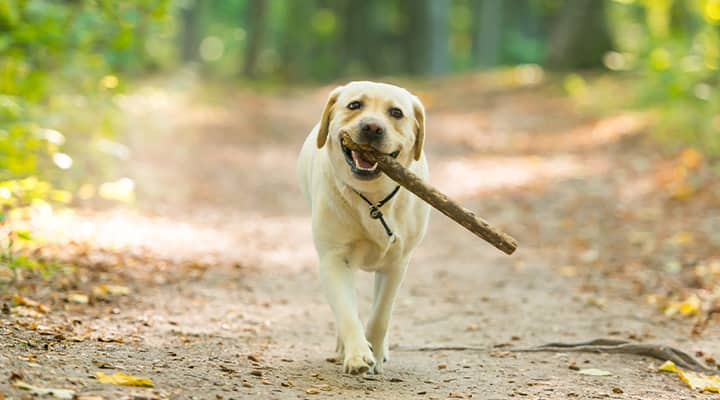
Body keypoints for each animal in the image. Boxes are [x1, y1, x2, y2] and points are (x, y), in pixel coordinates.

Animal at [296, 81, 430, 376]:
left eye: (396, 112)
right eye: (355, 105)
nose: (372, 127)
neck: (373, 199)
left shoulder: (397, 265)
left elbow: (381, 315)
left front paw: (376, 353)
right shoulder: (334, 259)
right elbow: (347, 312)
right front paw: (357, 353)